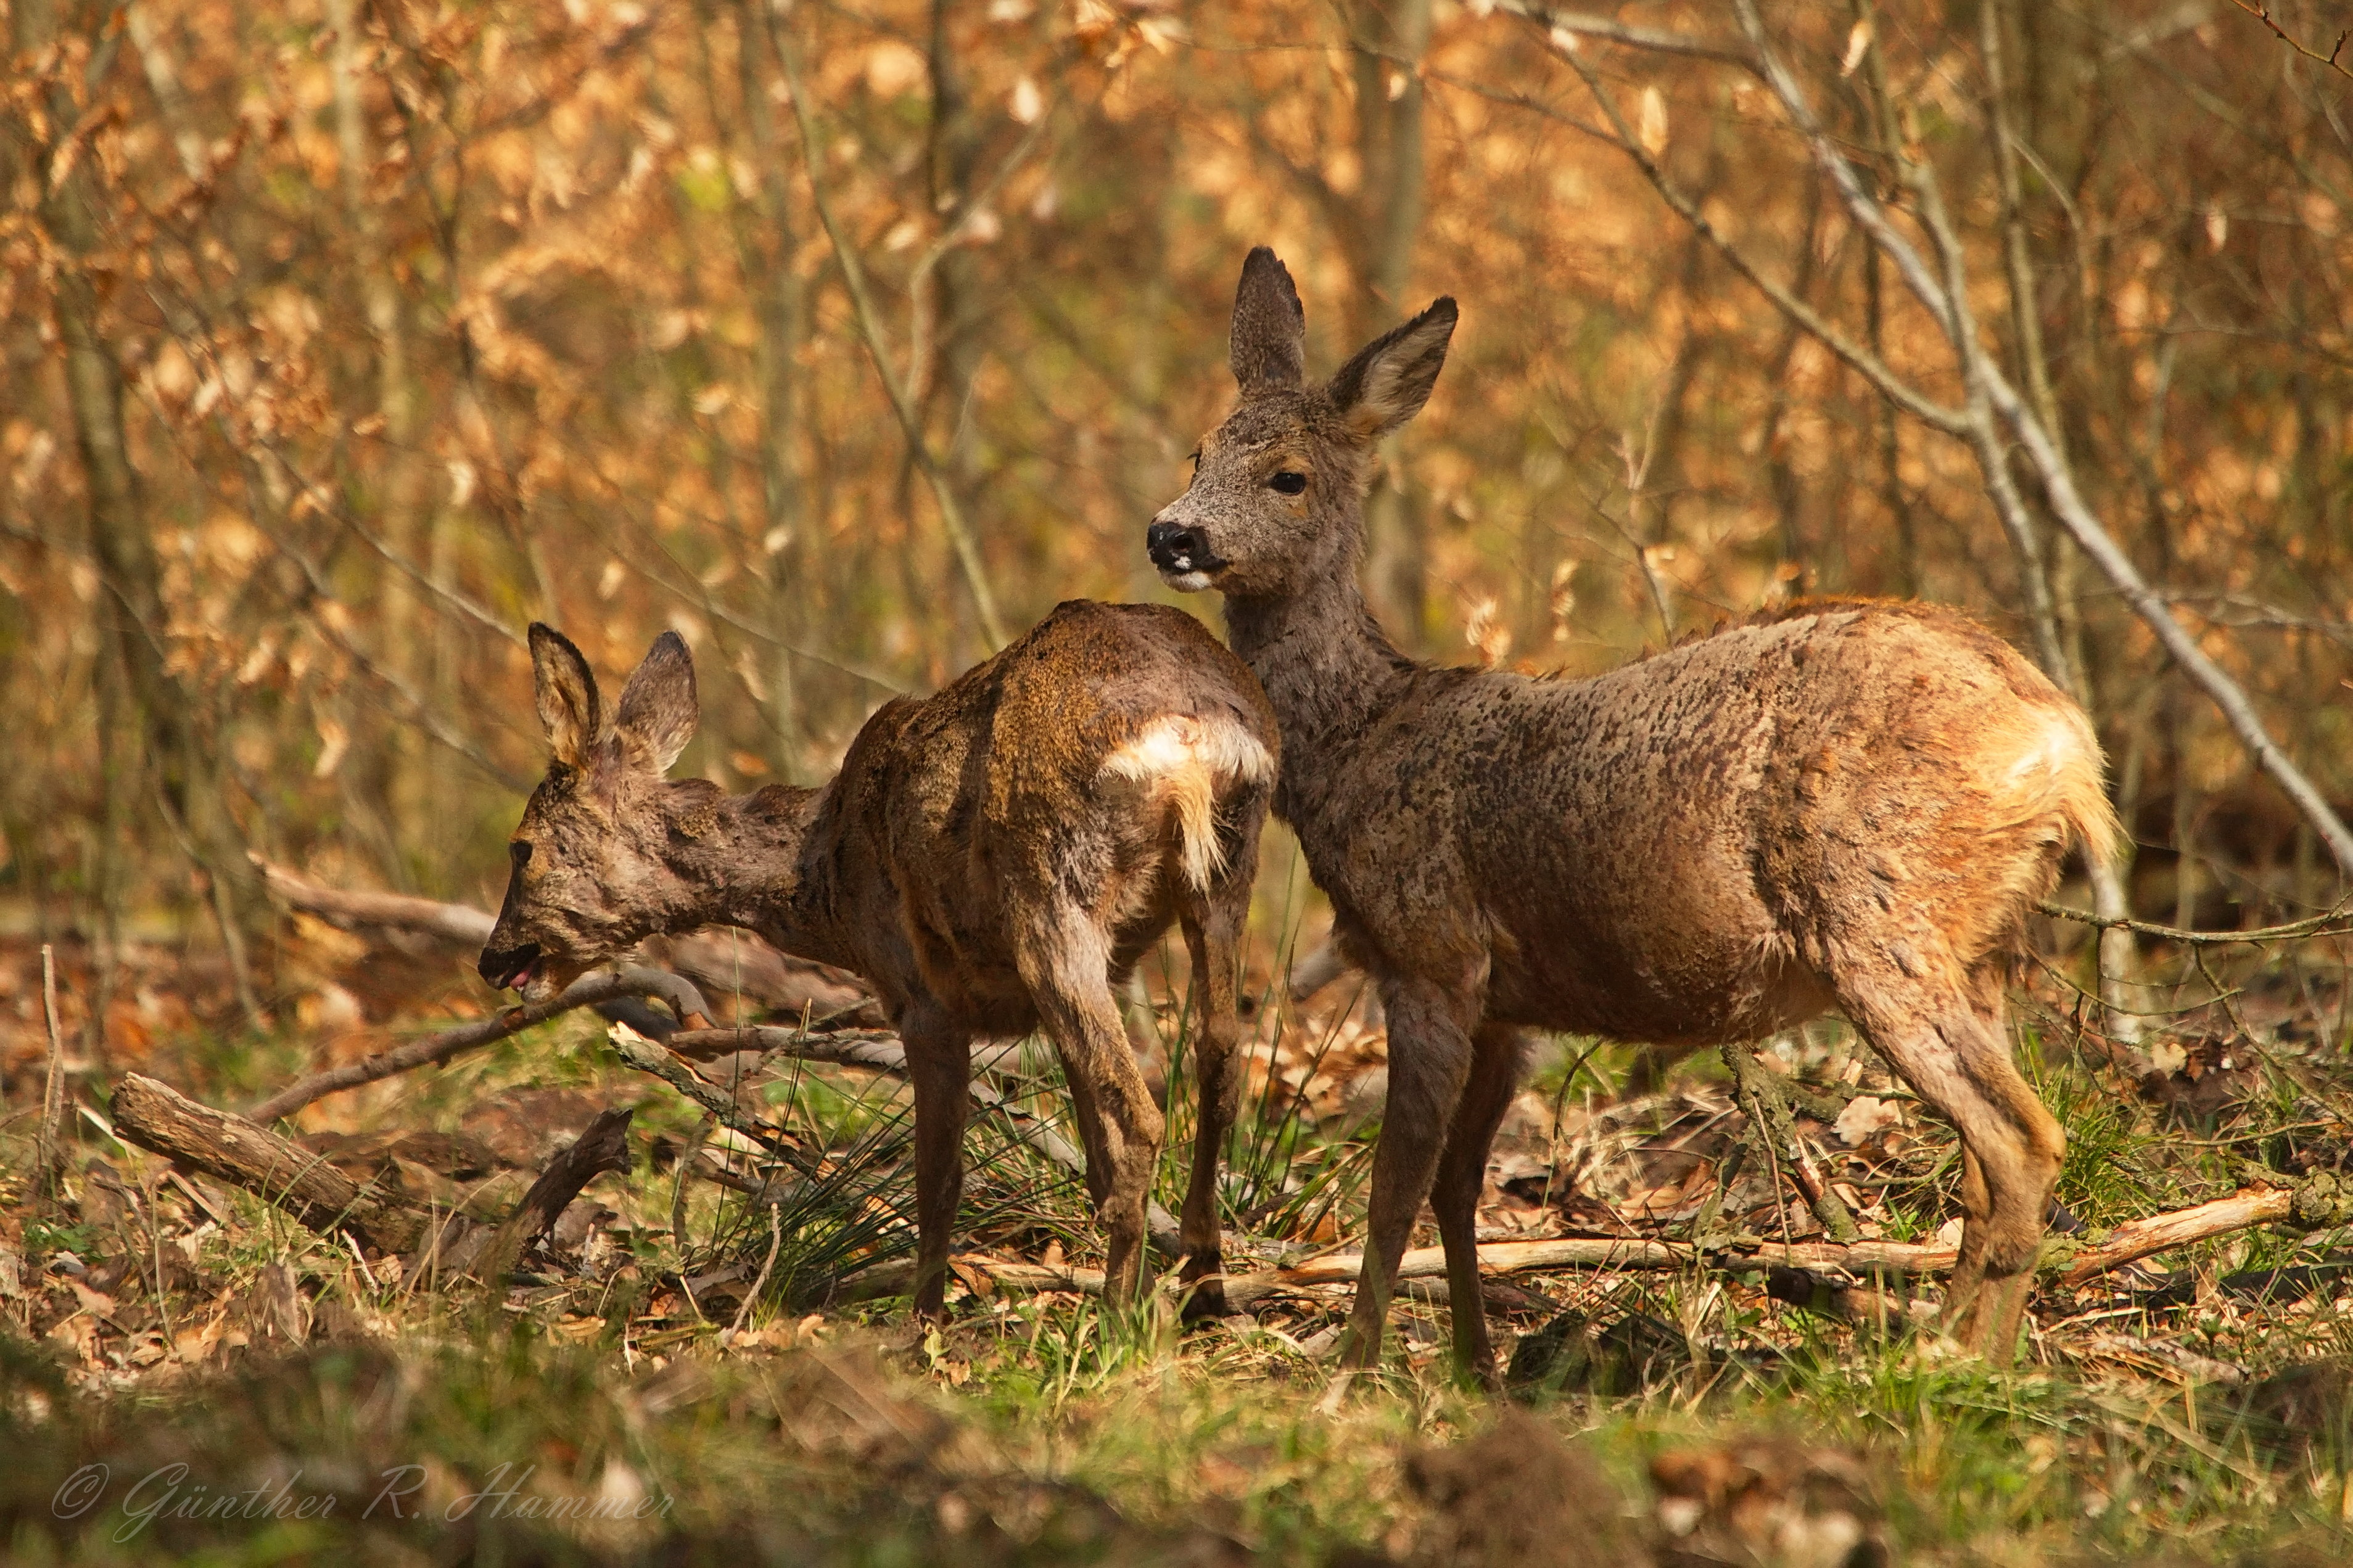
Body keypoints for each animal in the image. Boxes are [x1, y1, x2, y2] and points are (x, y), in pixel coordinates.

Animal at [477, 606, 1280, 1316]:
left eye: (521, 847)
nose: (492, 958)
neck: (827, 873)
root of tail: (1188, 735)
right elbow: (1088, 1144)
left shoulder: (919, 996)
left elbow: (939, 1173)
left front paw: (921, 1323)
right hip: (1224, 872)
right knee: (1217, 1059)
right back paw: (1203, 1286)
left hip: (1050, 892)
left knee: (1141, 1109)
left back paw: (1115, 1315)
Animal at [1148, 248, 2127, 1382]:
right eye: (1199, 448)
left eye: (1288, 475)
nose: (1171, 532)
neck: (1365, 738)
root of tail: (2065, 746)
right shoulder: (1510, 1002)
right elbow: (1458, 1185)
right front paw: (1477, 1364)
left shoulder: (1431, 953)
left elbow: (1394, 1189)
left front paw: (1353, 1368)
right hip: (1984, 946)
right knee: (1988, 1157)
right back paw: (1970, 1355)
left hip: (1882, 914)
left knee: (2020, 1140)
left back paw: (1943, 1363)